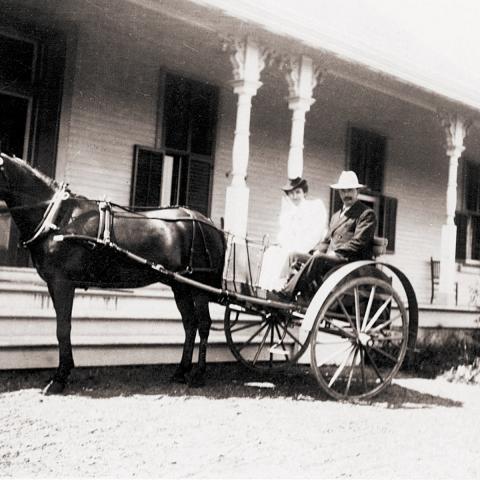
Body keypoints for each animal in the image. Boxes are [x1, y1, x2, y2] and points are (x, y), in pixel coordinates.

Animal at [0, 154, 226, 394]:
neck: (58, 218)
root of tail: (210, 224)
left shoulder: (62, 283)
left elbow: (63, 328)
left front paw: (59, 378)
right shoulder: (55, 284)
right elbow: (63, 327)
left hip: (198, 286)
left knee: (204, 324)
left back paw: (198, 375)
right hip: (180, 285)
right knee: (190, 324)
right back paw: (180, 372)